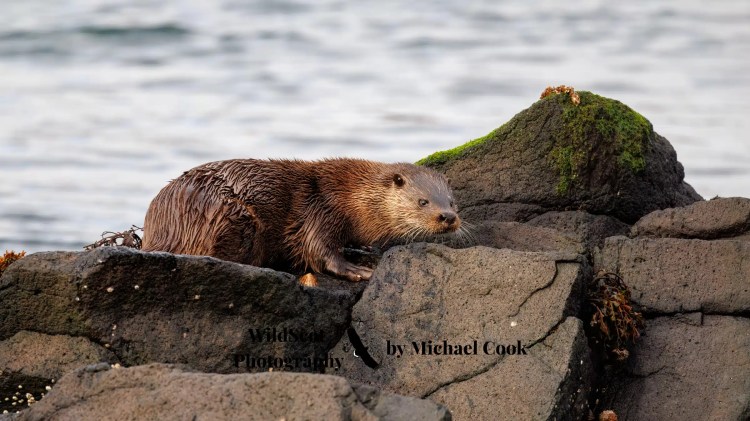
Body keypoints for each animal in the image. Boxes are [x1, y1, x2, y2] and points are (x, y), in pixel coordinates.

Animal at [141, 158, 461, 281]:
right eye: (423, 201)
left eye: (452, 201)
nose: (448, 217)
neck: (351, 196)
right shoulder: (321, 210)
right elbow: (317, 249)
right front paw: (357, 270)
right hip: (230, 214)